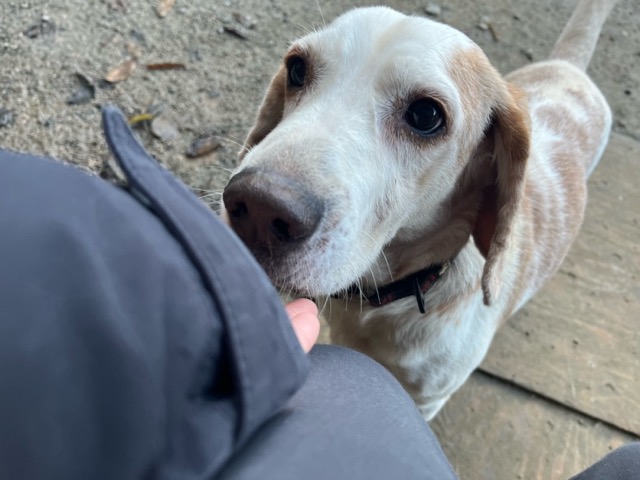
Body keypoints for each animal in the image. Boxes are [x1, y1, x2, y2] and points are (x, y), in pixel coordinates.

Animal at [221, 0, 616, 419]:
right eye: (297, 68)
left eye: (426, 115)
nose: (258, 207)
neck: (390, 296)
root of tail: (569, 67)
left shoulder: (427, 400)